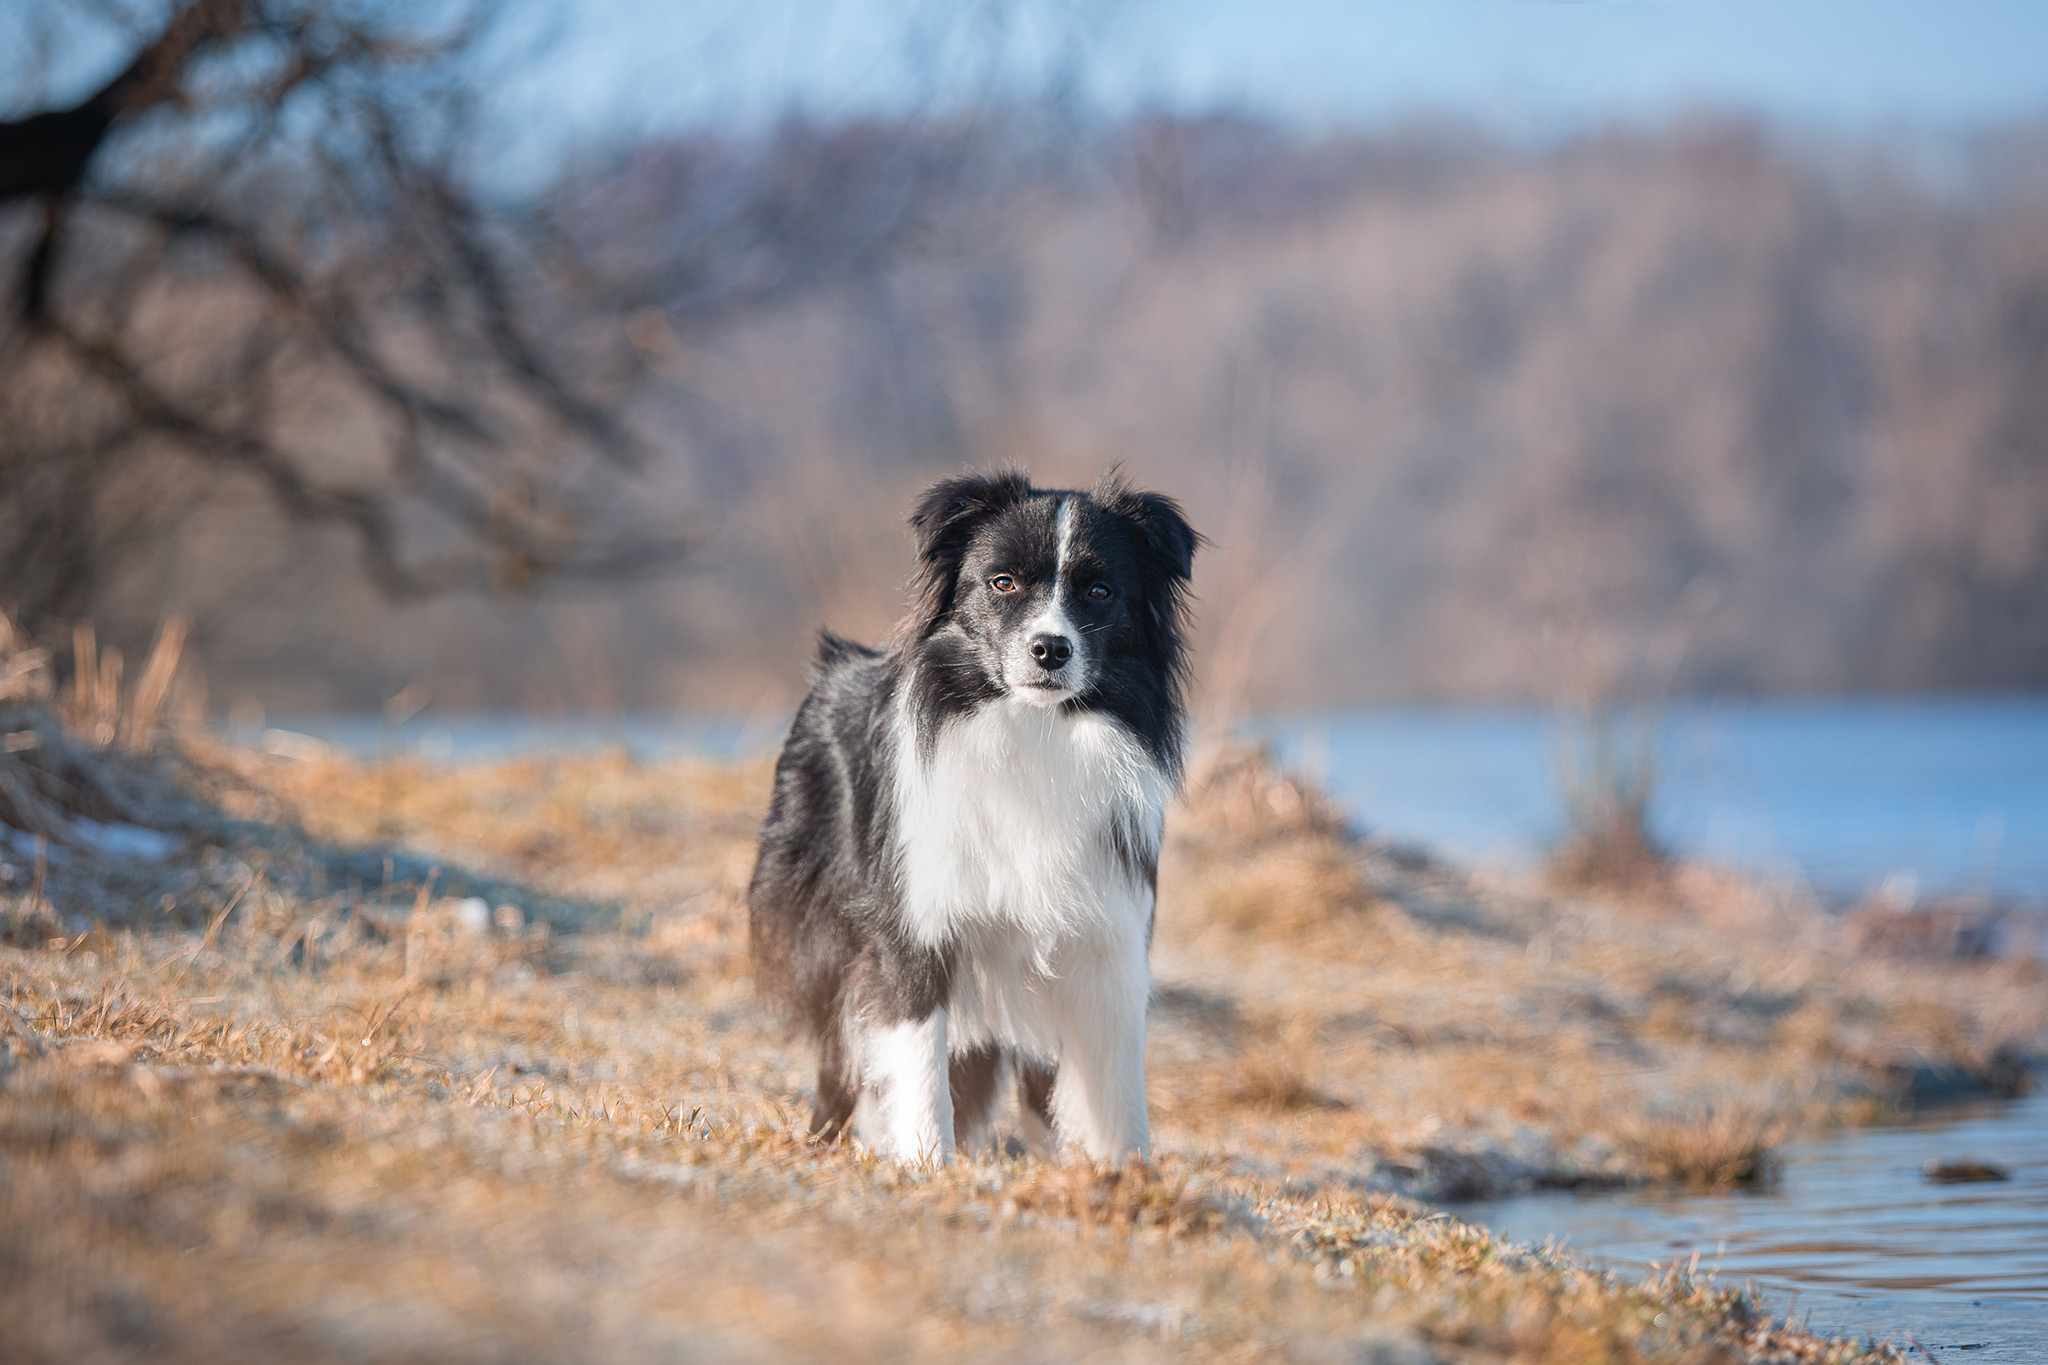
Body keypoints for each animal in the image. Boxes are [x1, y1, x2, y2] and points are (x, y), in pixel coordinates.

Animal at [753, 470, 1196, 1162]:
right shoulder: (915, 923)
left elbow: (1118, 1088)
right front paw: (927, 1165)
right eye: (1003, 582)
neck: (1034, 732)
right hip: (824, 934)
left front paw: (1123, 1175)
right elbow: (918, 1060)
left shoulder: (1108, 932)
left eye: (1100, 591)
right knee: (840, 1060)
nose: (1050, 649)